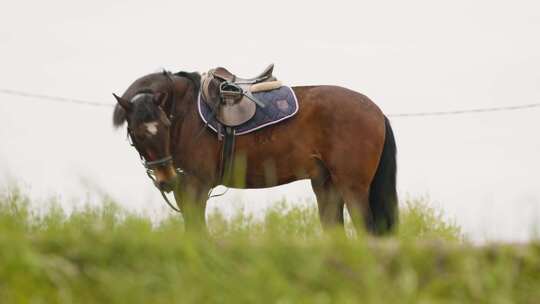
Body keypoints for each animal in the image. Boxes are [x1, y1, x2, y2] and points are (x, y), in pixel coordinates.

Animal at [113, 69, 396, 235]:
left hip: (352, 186)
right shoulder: (184, 188)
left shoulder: (196, 186)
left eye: (165, 125)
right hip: (326, 184)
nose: (166, 180)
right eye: (136, 132)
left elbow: (198, 230)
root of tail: (376, 111)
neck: (188, 113)